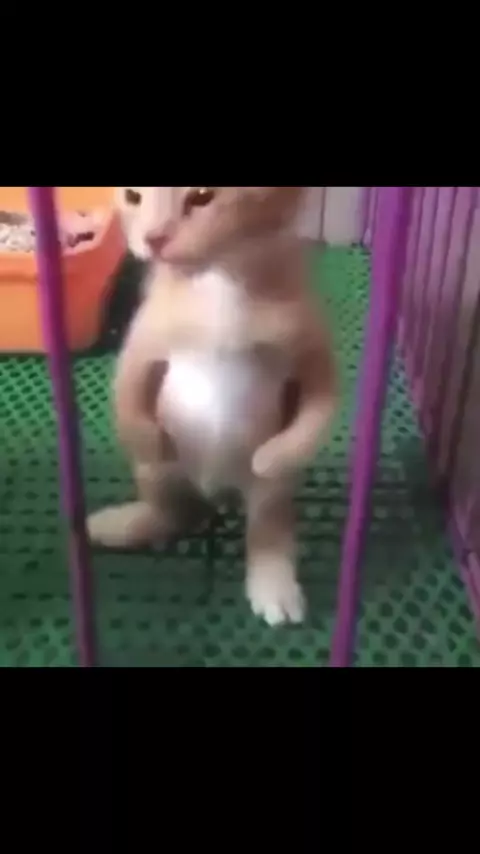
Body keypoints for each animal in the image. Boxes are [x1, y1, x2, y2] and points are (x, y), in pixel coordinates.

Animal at [87, 187, 337, 626]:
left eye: (203, 197)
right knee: (175, 512)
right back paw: (120, 523)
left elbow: (322, 404)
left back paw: (274, 583)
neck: (216, 281)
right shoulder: (142, 344)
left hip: (265, 499)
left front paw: (272, 456)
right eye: (132, 196)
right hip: (162, 478)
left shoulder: (311, 344)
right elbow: (127, 393)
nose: (153, 238)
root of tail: (217, 492)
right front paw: (148, 439)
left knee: (267, 525)